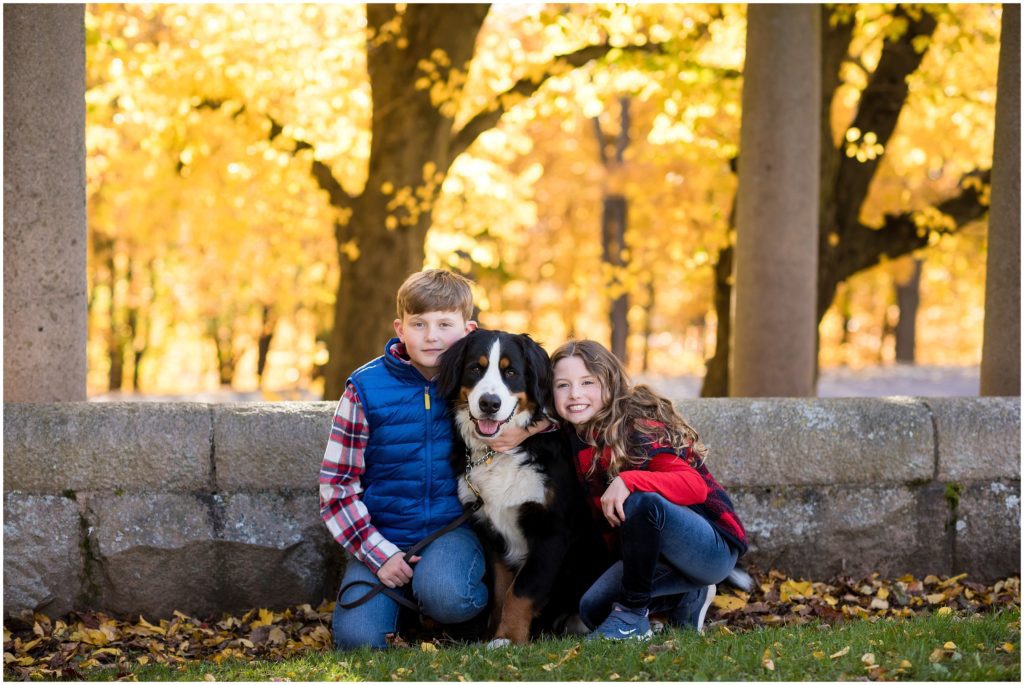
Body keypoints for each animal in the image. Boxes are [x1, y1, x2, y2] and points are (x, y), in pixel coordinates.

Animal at [436, 327, 610, 643]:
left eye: (511, 372)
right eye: (475, 368)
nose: (489, 403)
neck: (498, 453)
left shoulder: (552, 530)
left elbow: (521, 590)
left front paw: (509, 638)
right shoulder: (491, 532)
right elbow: (501, 592)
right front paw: (495, 634)